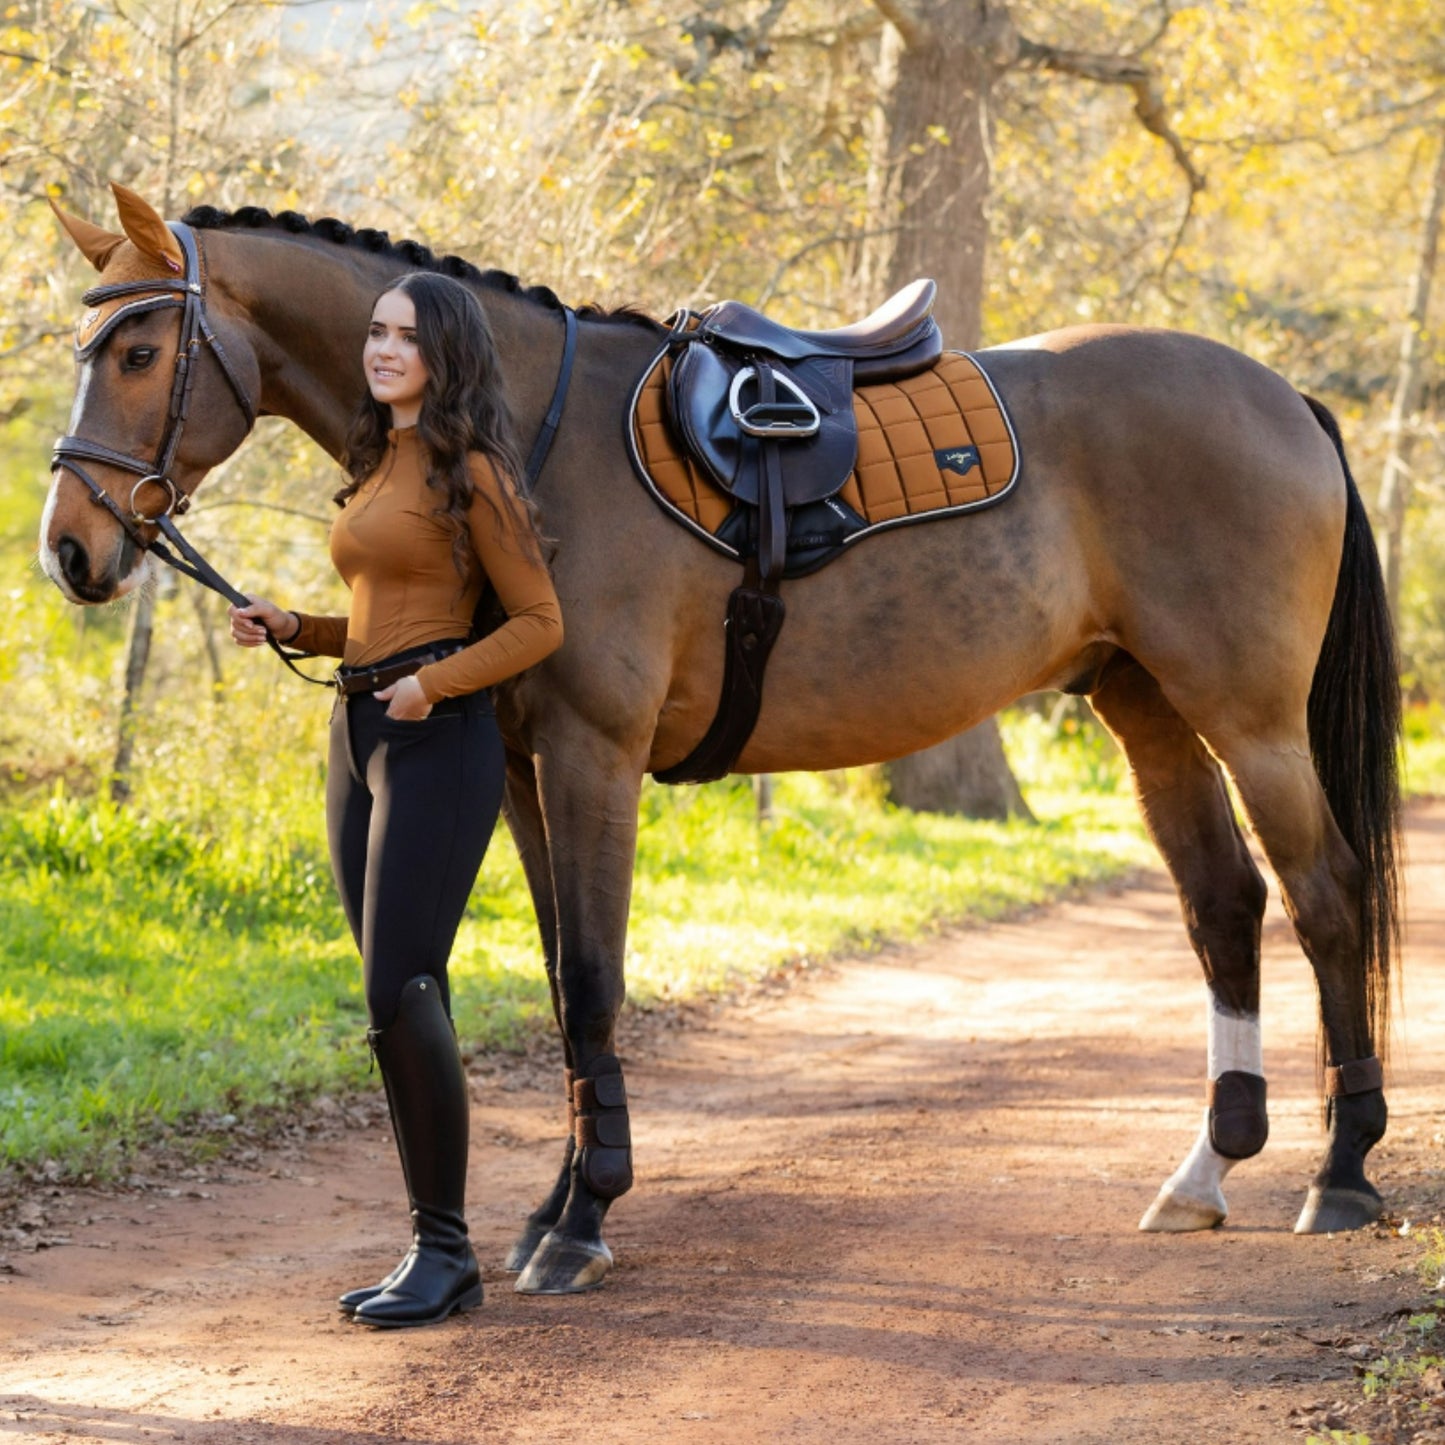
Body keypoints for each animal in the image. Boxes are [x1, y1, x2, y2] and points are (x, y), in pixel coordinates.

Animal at [42, 186, 1398, 1294]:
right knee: (1222, 903)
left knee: (1323, 897)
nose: (71, 547)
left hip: (1250, 719)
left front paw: (581, 1220)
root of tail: (1279, 395)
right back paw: (1206, 1169)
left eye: (141, 348)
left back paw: (1339, 1170)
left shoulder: (592, 755)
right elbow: (561, 985)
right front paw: (556, 1203)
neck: (522, 438)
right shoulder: (522, 768)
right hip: (1145, 704)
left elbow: (595, 978)